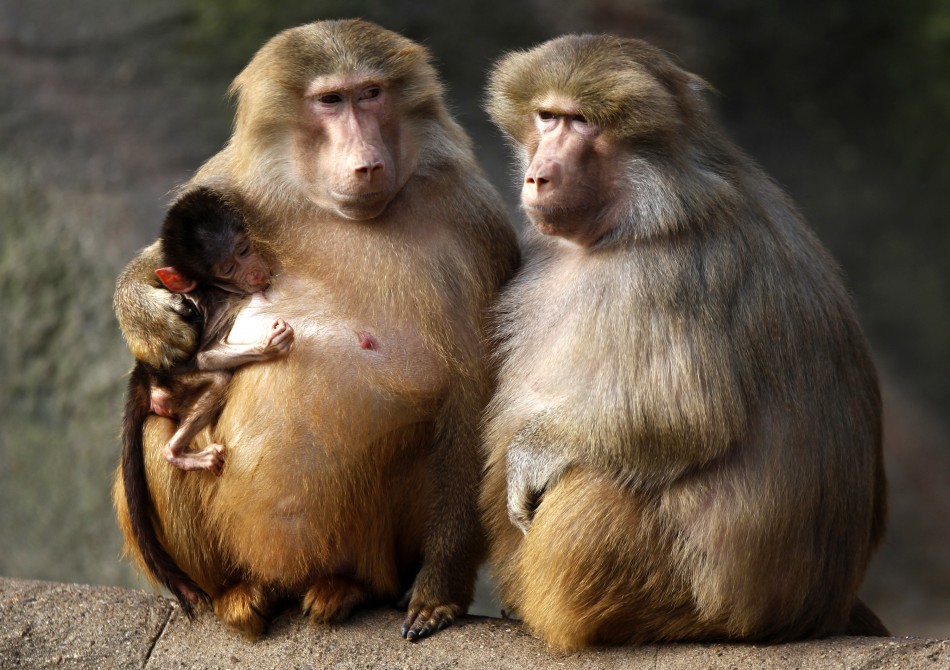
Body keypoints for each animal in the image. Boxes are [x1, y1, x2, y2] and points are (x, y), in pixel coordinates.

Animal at [120, 186, 295, 615]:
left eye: (245, 249)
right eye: (227, 267)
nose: (255, 273)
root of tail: (144, 372)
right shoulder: (217, 303)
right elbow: (205, 356)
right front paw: (269, 346)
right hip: (176, 381)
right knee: (216, 378)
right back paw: (176, 452)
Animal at [479, 34, 888, 651]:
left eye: (582, 122)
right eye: (547, 117)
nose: (538, 177)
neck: (647, 208)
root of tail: (815, 612)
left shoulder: (667, 277)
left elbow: (690, 418)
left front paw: (530, 457)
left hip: (682, 593)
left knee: (589, 484)